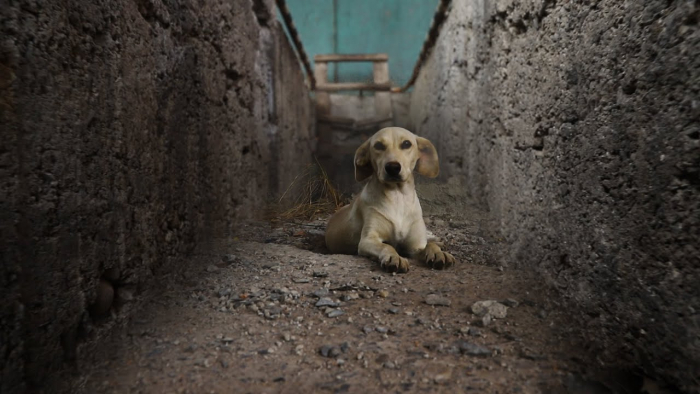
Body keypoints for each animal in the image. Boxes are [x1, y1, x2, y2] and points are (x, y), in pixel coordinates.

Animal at [326, 127, 456, 272]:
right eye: (378, 146)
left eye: (406, 144)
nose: (393, 167)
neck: (397, 197)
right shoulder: (368, 240)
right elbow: (387, 246)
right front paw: (394, 257)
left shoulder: (414, 246)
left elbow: (428, 246)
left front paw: (438, 253)